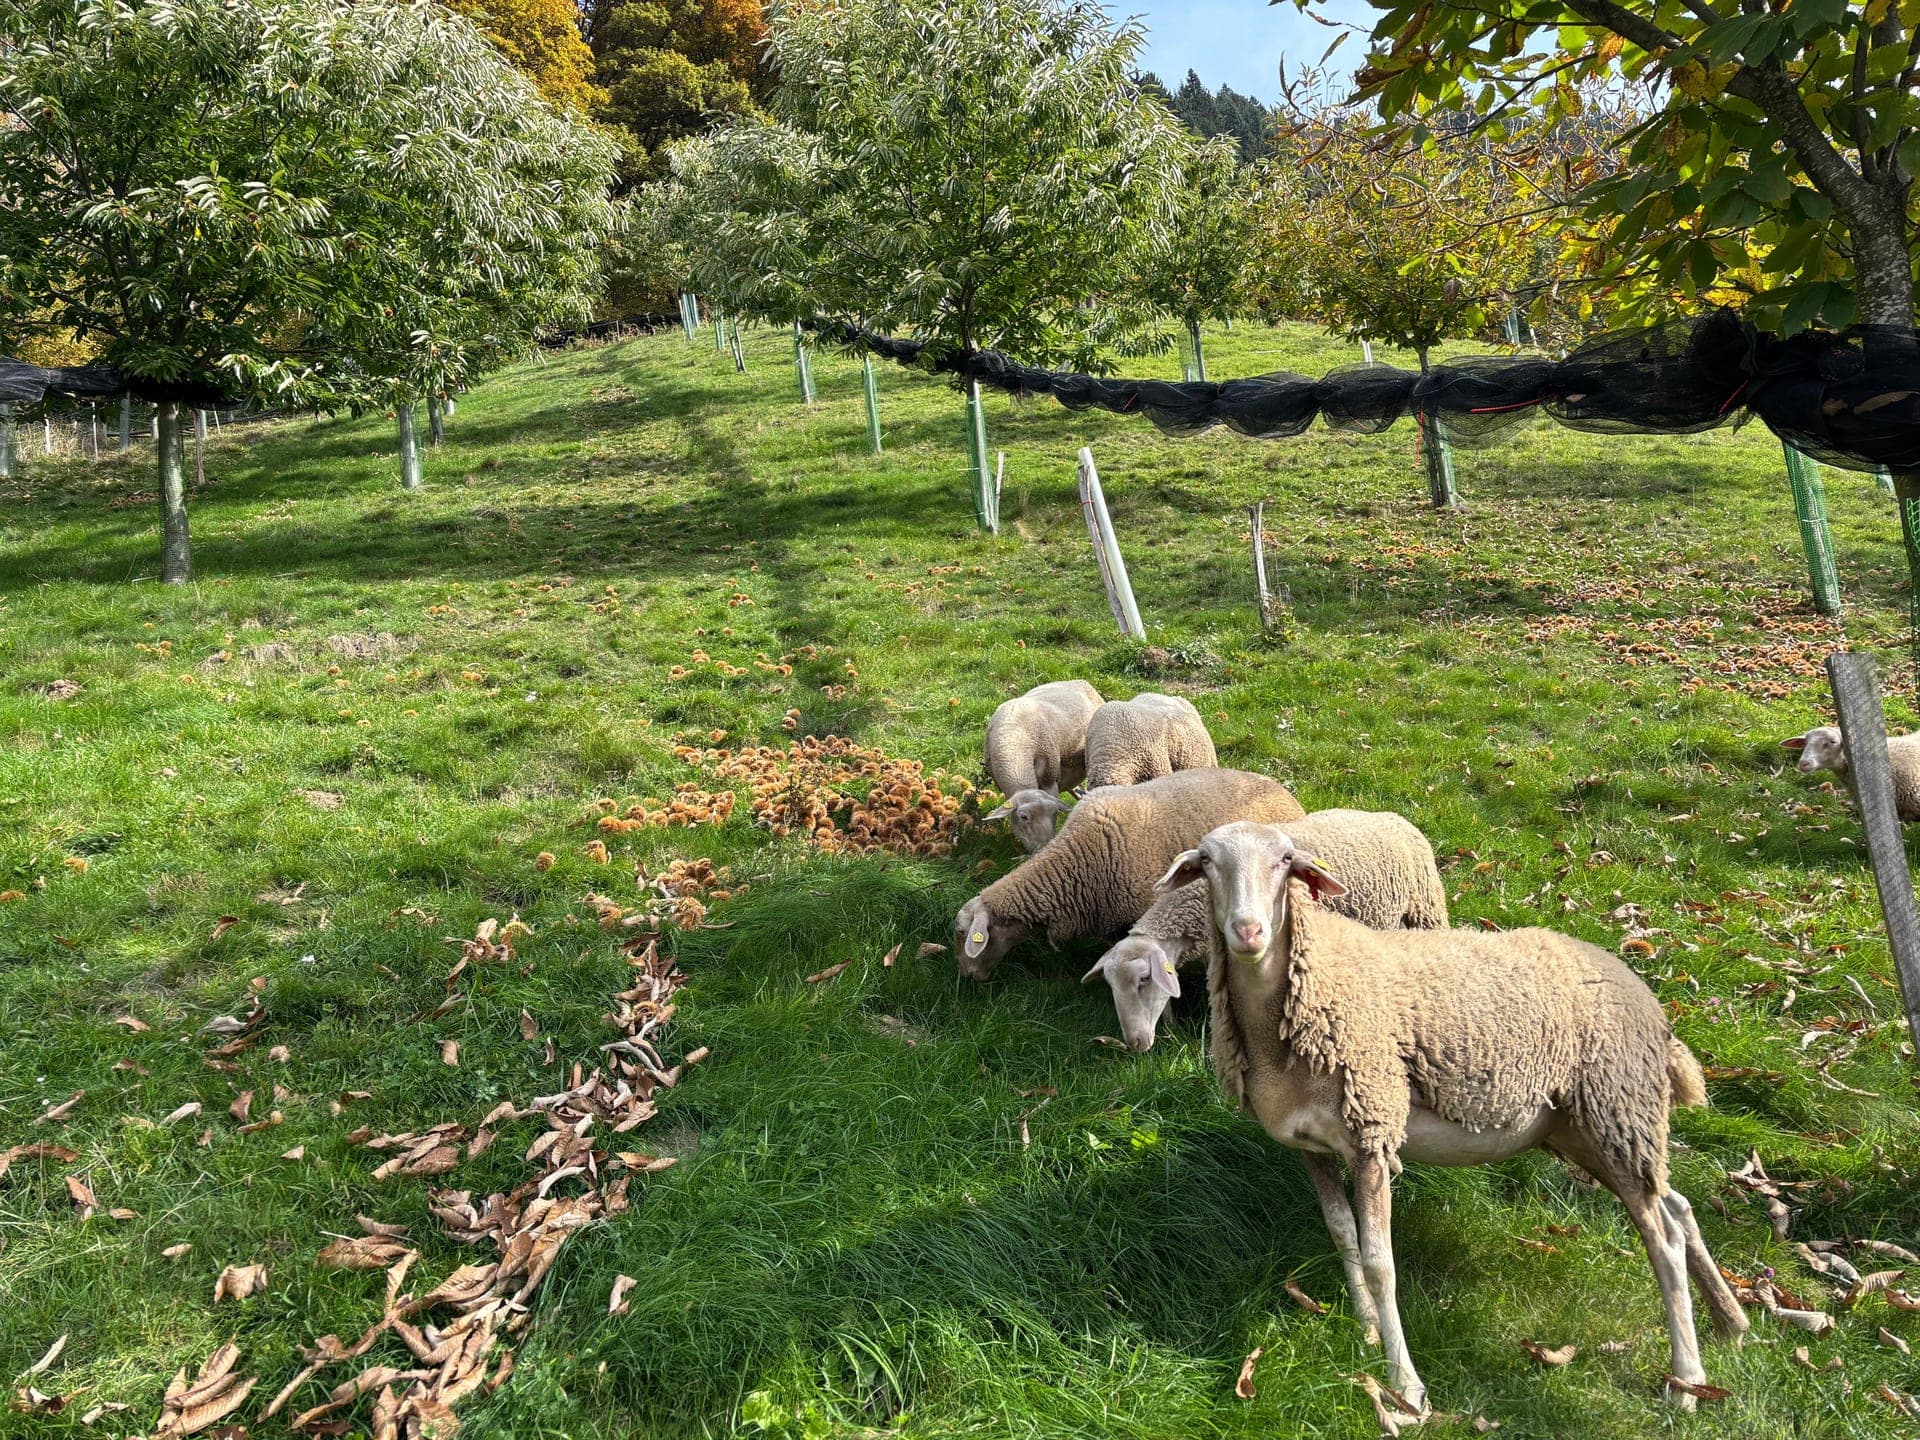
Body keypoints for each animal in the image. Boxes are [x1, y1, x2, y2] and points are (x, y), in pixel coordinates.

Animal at [1159, 820, 1748, 1418]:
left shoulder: (1372, 1128)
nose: (1248, 931)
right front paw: (1367, 1330)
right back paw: (1730, 1324)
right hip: (1591, 1129)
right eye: (1206, 862)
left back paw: (1687, 1381)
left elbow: (1381, 1263)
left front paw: (1407, 1384)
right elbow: (1343, 1233)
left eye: (1284, 860)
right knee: (1678, 1206)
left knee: (1664, 1239)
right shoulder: (1311, 1144)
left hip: (1617, 1105)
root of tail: (1650, 1002)